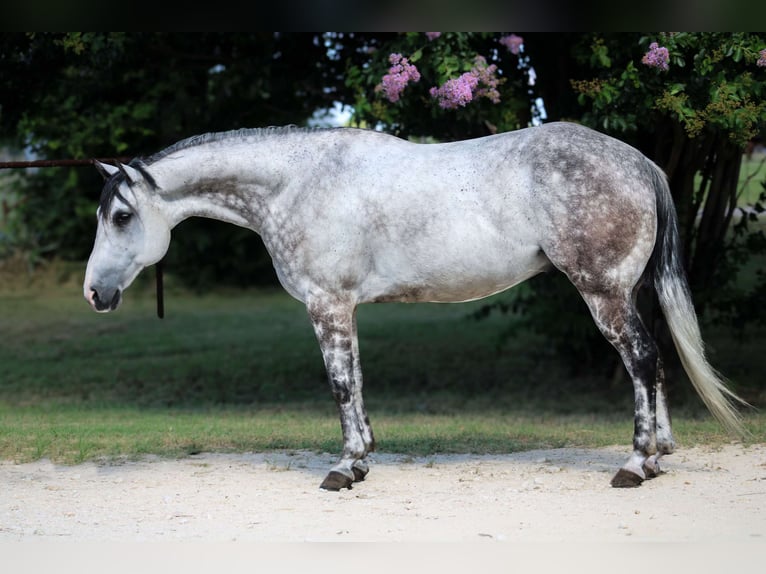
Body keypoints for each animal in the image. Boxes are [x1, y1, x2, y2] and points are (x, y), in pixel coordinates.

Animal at [84, 121, 748, 490]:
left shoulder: (327, 304)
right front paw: (362, 460)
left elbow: (340, 384)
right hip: (627, 292)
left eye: (121, 216)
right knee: (654, 361)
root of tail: (638, 160)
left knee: (640, 359)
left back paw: (635, 465)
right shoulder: (345, 308)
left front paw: (344, 469)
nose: (94, 293)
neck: (298, 182)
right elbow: (355, 380)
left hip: (603, 291)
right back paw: (659, 455)